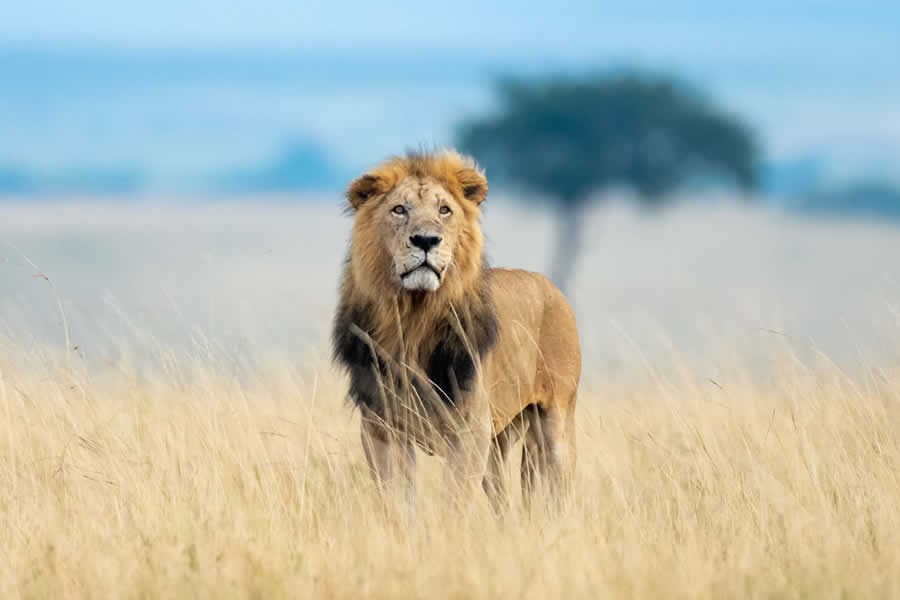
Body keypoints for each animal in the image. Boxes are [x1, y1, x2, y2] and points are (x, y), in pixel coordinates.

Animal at [332, 150, 584, 510]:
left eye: (444, 210)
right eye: (399, 209)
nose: (426, 240)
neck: (414, 320)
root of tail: (552, 287)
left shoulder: (469, 429)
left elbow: (455, 499)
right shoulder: (381, 427)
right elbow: (398, 500)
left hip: (555, 423)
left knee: (559, 489)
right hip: (498, 444)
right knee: (504, 503)